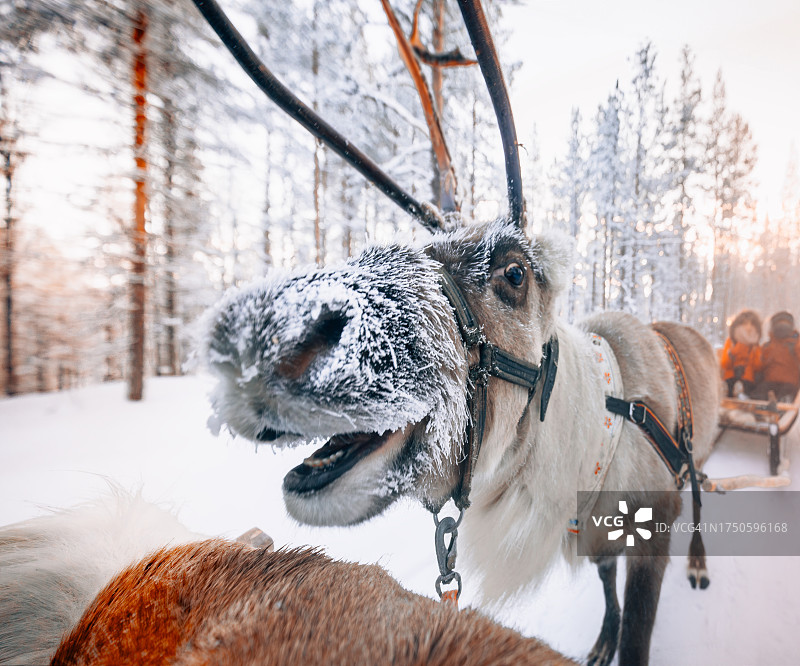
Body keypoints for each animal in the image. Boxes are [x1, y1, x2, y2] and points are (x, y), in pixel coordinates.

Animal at [194, 1, 721, 665]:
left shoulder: (652, 530)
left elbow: (638, 635)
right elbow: (606, 585)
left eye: (514, 273)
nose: (260, 335)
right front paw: (602, 638)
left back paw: (700, 564)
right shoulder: (600, 540)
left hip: (697, 463)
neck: (594, 440)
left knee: (702, 495)